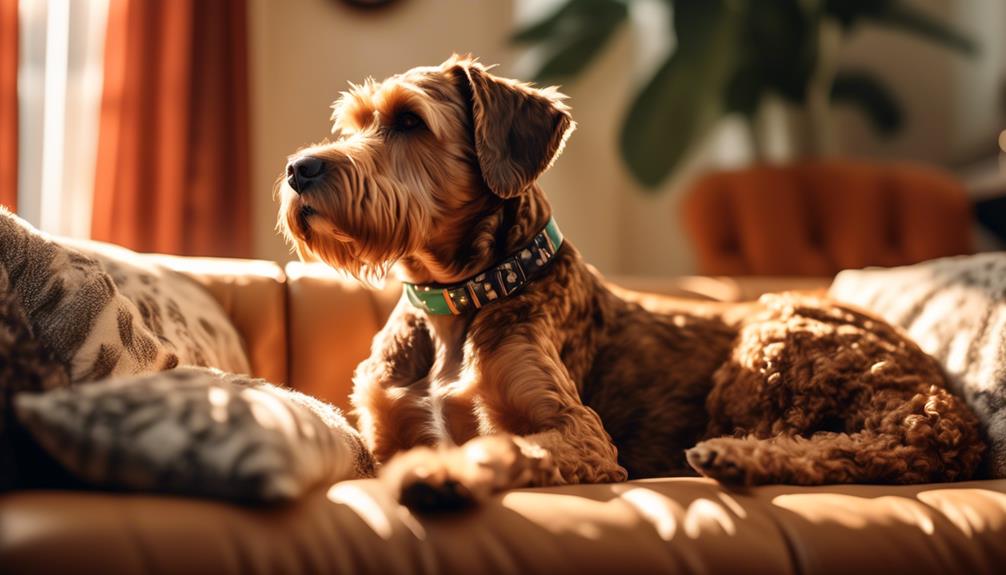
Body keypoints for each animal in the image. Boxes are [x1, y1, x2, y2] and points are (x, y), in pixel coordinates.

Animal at [275, 55, 981, 512]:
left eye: (409, 122)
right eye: (352, 123)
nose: (298, 169)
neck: (459, 299)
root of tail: (943, 401)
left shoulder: (579, 435)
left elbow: (504, 447)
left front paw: (440, 473)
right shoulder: (381, 432)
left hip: (774, 338)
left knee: (862, 446)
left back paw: (732, 456)